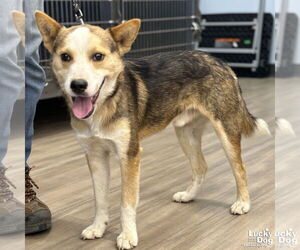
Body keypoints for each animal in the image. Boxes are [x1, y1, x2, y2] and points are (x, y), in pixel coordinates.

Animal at [34, 10, 270, 249]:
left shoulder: (130, 156)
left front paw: (128, 235)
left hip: (225, 130)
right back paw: (189, 195)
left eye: (98, 56)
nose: (78, 85)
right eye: (65, 57)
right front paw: (98, 227)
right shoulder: (95, 156)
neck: (104, 105)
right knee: (201, 167)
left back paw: (242, 203)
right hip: (185, 133)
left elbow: (127, 202)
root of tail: (220, 62)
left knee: (240, 169)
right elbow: (99, 199)